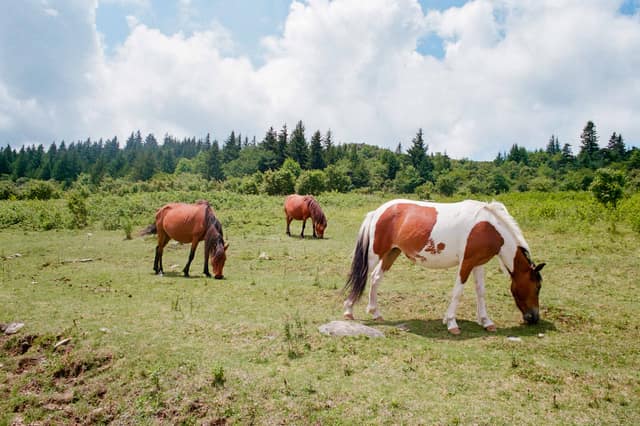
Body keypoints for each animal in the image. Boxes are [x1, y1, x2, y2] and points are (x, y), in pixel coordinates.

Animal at [343, 199, 545, 335]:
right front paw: (451, 323)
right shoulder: (467, 263)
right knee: (362, 276)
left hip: (392, 252)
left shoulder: (478, 263)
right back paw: (348, 311)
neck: (488, 227)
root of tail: (378, 211)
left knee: (376, 277)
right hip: (375, 253)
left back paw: (375, 313)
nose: (534, 318)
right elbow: (458, 292)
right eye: (537, 287)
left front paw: (486, 321)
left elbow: (480, 292)